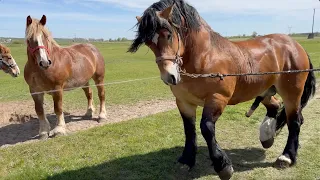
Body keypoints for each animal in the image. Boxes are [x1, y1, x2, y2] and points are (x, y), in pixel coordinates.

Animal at [129, 0, 316, 179]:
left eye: (168, 35)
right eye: (148, 43)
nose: (169, 77)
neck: (205, 57)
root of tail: (295, 45)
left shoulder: (217, 98)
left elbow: (206, 127)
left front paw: (223, 166)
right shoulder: (183, 102)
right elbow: (189, 130)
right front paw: (187, 161)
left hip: (292, 93)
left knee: (295, 121)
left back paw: (286, 157)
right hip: (264, 90)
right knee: (275, 106)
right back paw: (267, 137)